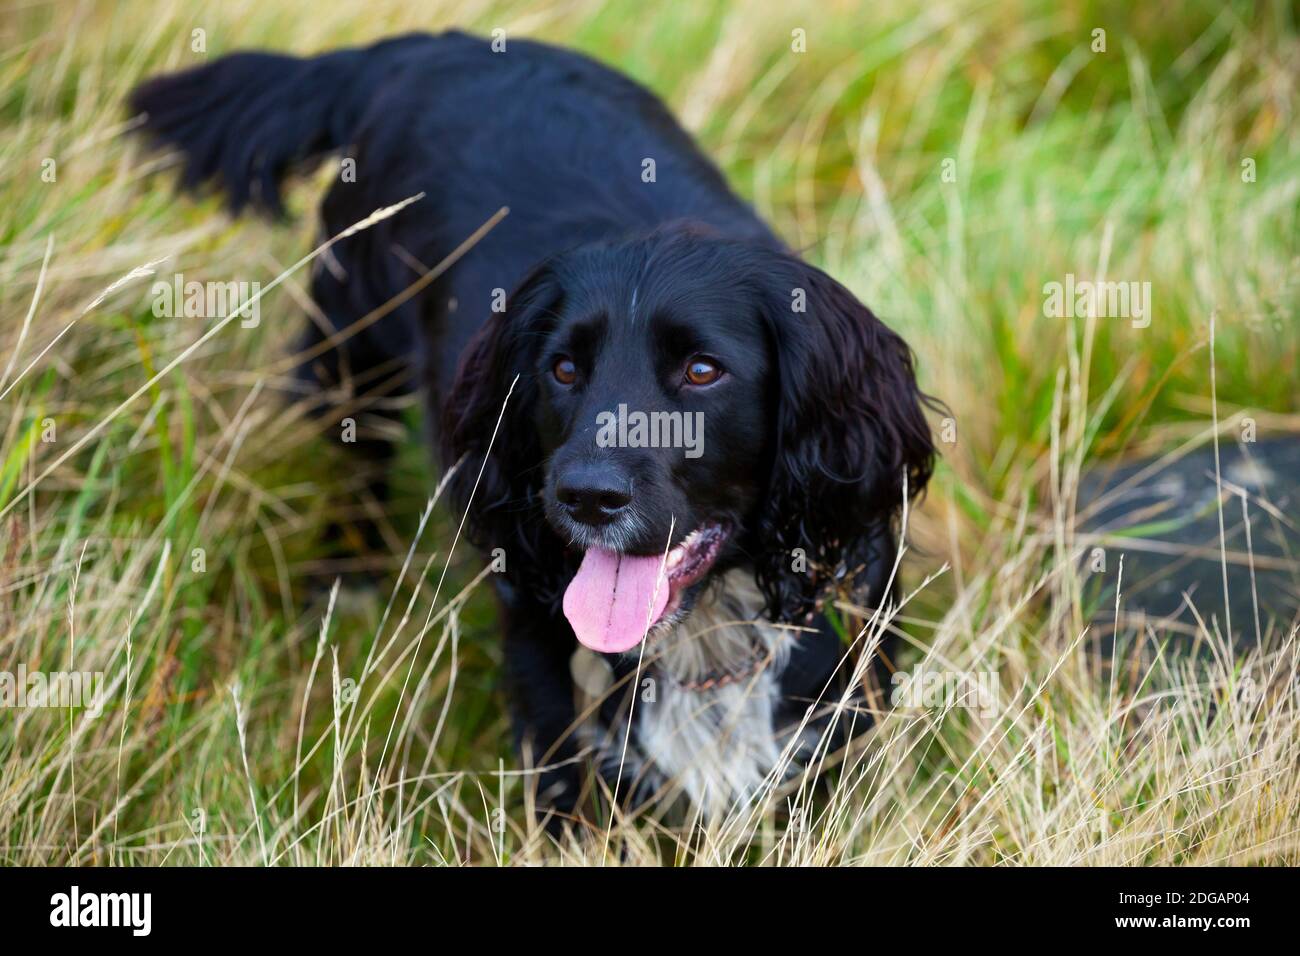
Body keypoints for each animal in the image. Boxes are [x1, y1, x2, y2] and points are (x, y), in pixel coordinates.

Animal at [131, 31, 935, 832]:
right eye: (564, 369)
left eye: (703, 370)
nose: (586, 498)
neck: (708, 623)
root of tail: (421, 45)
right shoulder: (548, 691)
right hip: (350, 351)